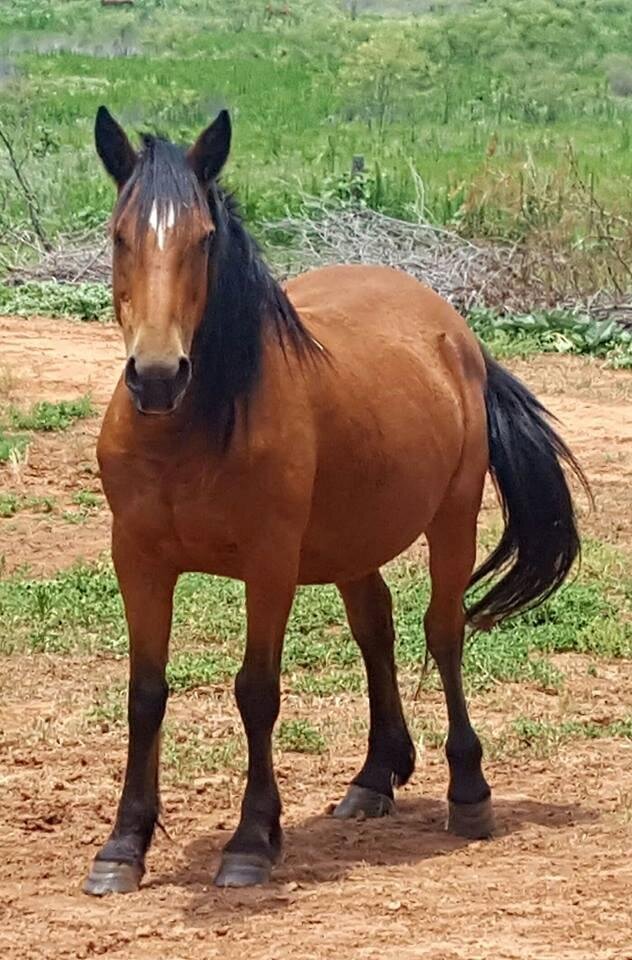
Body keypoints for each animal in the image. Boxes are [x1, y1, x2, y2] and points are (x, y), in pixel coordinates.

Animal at [84, 106, 586, 895]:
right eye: (118, 236)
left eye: (204, 239)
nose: (158, 376)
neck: (190, 431)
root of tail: (456, 332)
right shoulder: (137, 559)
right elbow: (146, 693)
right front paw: (122, 846)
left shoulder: (270, 565)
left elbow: (257, 690)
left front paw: (252, 841)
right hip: (353, 539)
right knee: (375, 627)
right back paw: (375, 778)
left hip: (452, 521)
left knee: (442, 634)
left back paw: (468, 793)